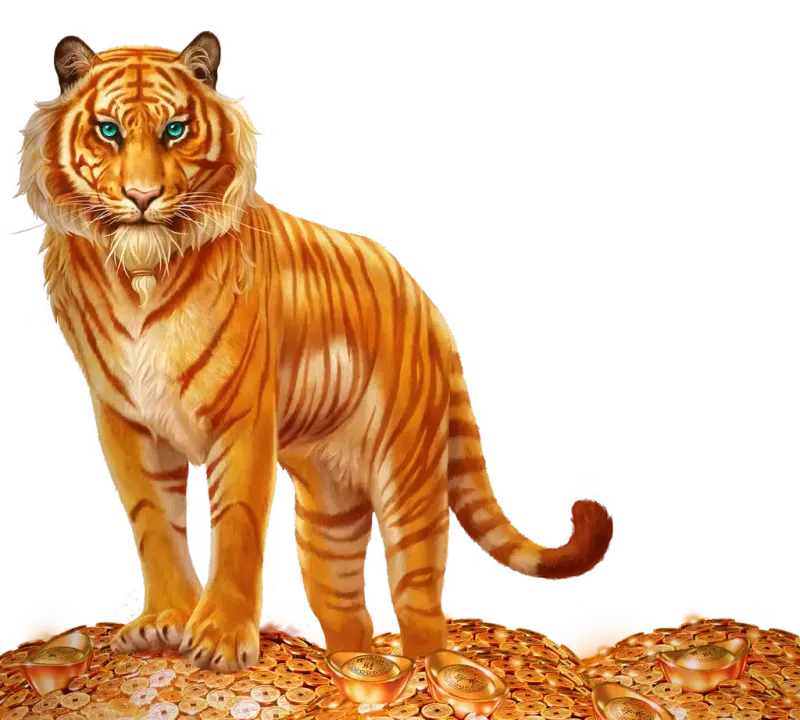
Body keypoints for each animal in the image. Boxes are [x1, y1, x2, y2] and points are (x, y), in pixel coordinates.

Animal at [15, 30, 614, 672]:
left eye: (176, 130)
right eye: (108, 131)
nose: (143, 196)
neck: (142, 273)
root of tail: (424, 300)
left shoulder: (243, 418)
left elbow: (237, 525)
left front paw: (221, 638)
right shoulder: (126, 418)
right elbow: (154, 523)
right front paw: (164, 622)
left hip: (408, 485)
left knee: (420, 606)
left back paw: (427, 673)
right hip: (332, 515)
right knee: (348, 613)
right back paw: (351, 672)